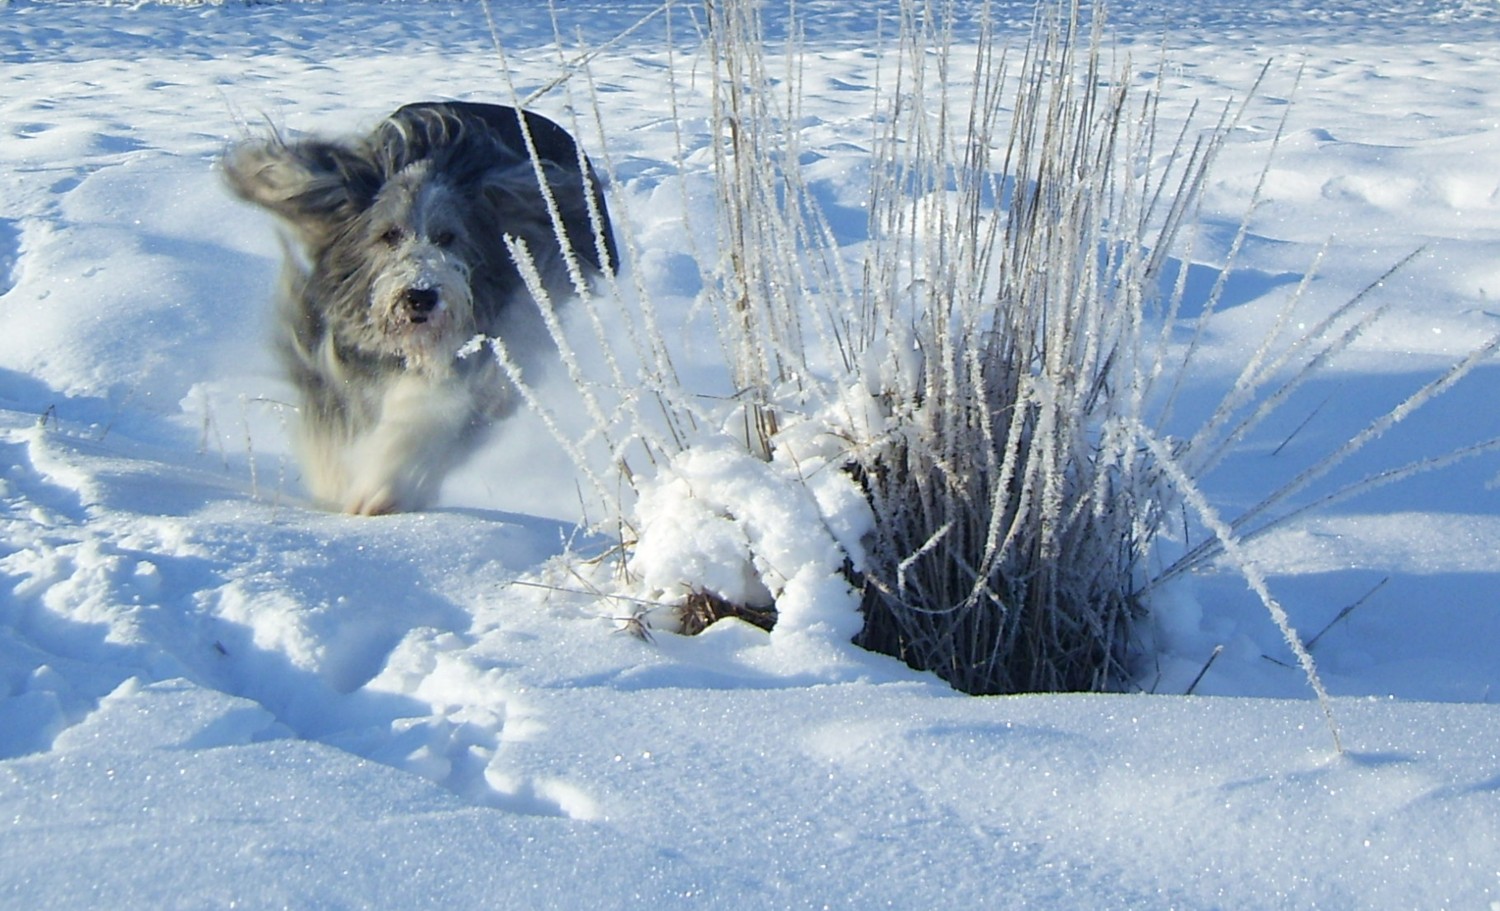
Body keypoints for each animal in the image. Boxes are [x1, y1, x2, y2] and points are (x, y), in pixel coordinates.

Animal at [220, 103, 615, 516]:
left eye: (448, 236)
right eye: (389, 234)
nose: (420, 296)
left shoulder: (486, 354)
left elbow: (429, 415)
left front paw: (381, 490)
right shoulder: (326, 345)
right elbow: (331, 421)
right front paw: (334, 485)